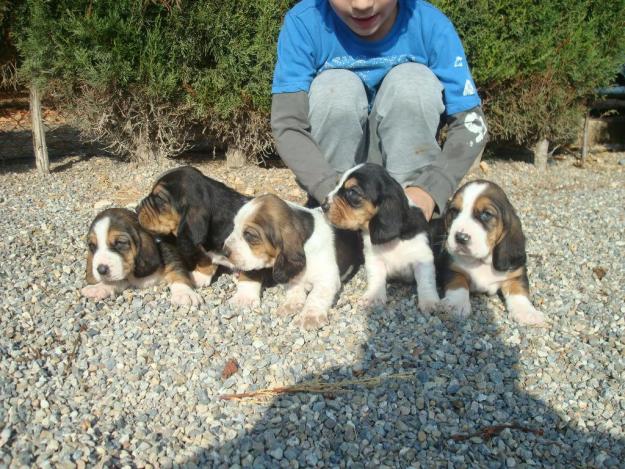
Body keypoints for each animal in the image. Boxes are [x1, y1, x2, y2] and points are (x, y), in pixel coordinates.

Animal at [135, 165, 264, 308]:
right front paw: (199, 276)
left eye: (159, 198)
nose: (136, 208)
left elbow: (251, 272)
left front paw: (245, 297)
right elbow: (206, 258)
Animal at [223, 194, 360, 330]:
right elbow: (294, 288)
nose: (224, 251)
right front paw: (291, 305)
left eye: (249, 235)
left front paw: (309, 317)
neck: (306, 246)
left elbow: (316, 296)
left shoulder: (326, 279)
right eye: (234, 226)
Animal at [322, 163, 438, 312]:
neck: (393, 242)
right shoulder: (374, 260)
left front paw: (429, 302)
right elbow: (376, 279)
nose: (323, 205)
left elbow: (426, 281)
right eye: (336, 184)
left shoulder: (422, 257)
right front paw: (373, 298)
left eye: (352, 192)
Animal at [432, 179, 544, 326]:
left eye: (486, 214)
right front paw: (456, 305)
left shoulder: (516, 274)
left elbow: (519, 290)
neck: (481, 261)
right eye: (454, 211)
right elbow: (458, 283)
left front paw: (527, 312)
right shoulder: (451, 269)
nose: (461, 237)